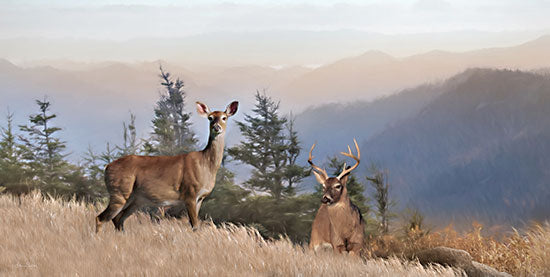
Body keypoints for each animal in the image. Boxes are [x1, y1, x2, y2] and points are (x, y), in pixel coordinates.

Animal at [96, 100, 238, 232]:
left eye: (224, 117)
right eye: (210, 118)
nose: (216, 127)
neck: (206, 165)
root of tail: (107, 167)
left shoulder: (200, 198)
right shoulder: (189, 193)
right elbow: (194, 225)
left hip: (136, 199)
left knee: (117, 219)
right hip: (119, 191)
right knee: (101, 218)